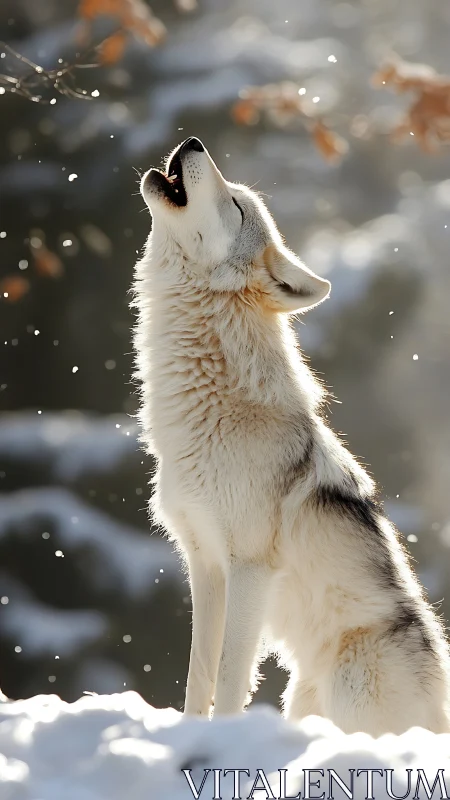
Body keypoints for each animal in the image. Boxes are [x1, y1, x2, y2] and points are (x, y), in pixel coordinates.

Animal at [133, 136, 450, 735]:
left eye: (236, 206)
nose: (192, 142)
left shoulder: (249, 565)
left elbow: (229, 675)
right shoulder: (204, 564)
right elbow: (199, 674)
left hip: (350, 681)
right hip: (301, 697)